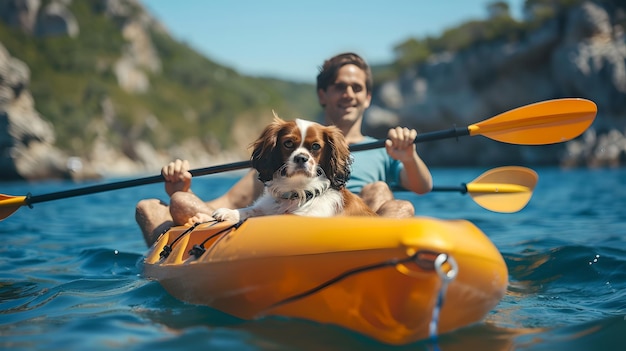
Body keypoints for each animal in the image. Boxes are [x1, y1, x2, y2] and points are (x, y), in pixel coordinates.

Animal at [212, 116, 372, 223]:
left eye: (315, 146)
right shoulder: (266, 207)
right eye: (288, 143)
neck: (297, 191)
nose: (301, 158)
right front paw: (230, 212)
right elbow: (253, 210)